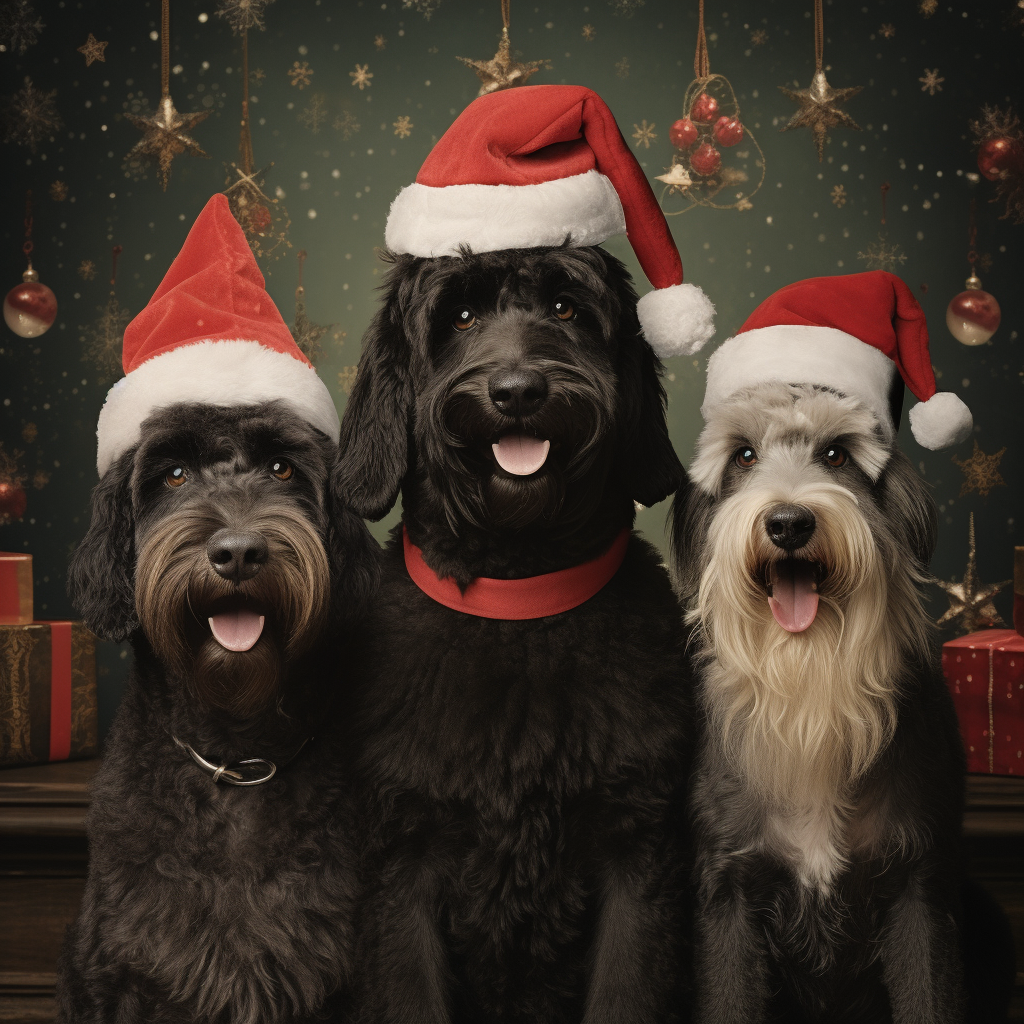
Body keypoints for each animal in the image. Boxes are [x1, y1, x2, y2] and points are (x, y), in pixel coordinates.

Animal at [335, 245, 696, 1024]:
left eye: (565, 307)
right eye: (461, 315)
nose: (519, 391)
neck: (520, 600)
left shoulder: (638, 854)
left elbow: (627, 991)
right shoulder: (403, 862)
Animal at [675, 382, 962, 1024]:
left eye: (836, 454)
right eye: (744, 455)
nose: (788, 522)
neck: (809, 708)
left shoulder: (919, 886)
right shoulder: (728, 894)